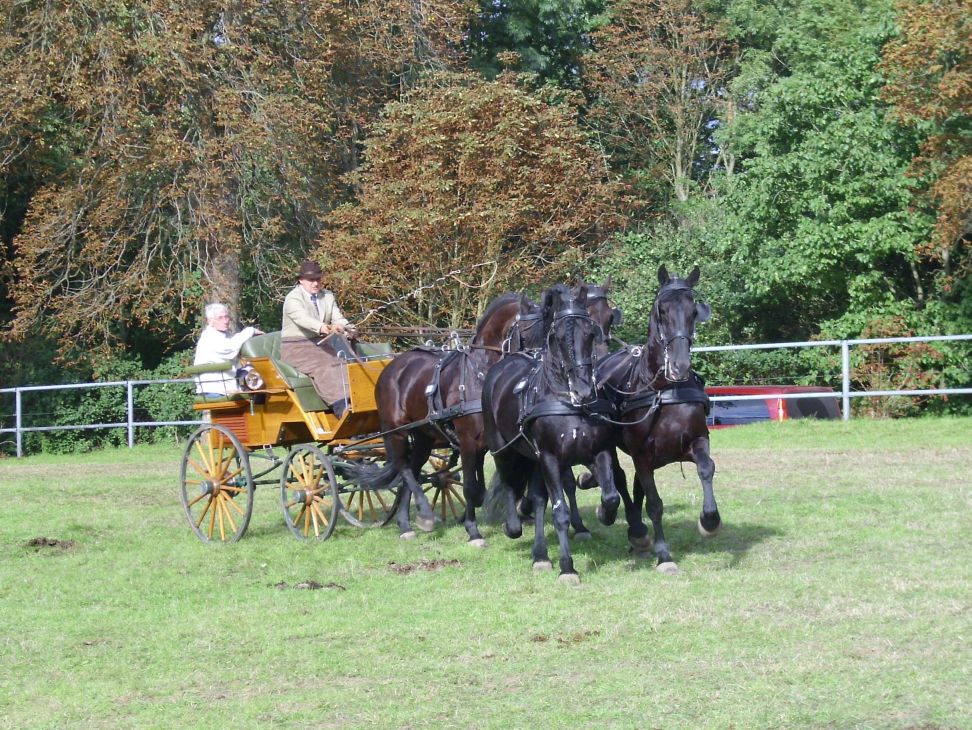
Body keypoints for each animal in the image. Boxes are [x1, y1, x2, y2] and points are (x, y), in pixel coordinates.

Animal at [482, 282, 620, 584]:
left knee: (537, 499)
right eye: (557, 336)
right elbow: (560, 512)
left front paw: (603, 514)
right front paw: (567, 567)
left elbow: (610, 496)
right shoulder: (550, 460)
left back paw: (541, 554)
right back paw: (513, 526)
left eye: (590, 331)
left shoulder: (599, 451)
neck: (568, 402)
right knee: (509, 484)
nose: (583, 390)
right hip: (504, 450)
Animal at [588, 264, 716, 572]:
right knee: (621, 481)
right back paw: (636, 531)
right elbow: (655, 504)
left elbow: (707, 469)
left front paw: (710, 520)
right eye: (662, 310)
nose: (680, 365)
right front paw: (664, 554)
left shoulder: (697, 441)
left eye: (693, 311)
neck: (663, 389)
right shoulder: (641, 455)